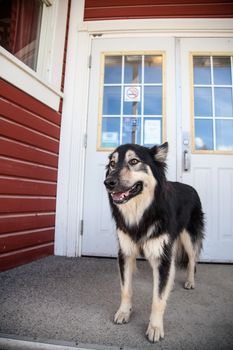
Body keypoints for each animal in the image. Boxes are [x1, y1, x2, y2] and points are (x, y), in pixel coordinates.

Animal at [104, 142, 204, 342]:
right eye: (112, 164)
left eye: (134, 161)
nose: (108, 183)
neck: (142, 214)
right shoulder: (125, 253)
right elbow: (125, 288)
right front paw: (124, 312)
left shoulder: (161, 256)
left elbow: (157, 299)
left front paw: (155, 327)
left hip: (189, 237)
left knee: (192, 260)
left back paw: (189, 281)